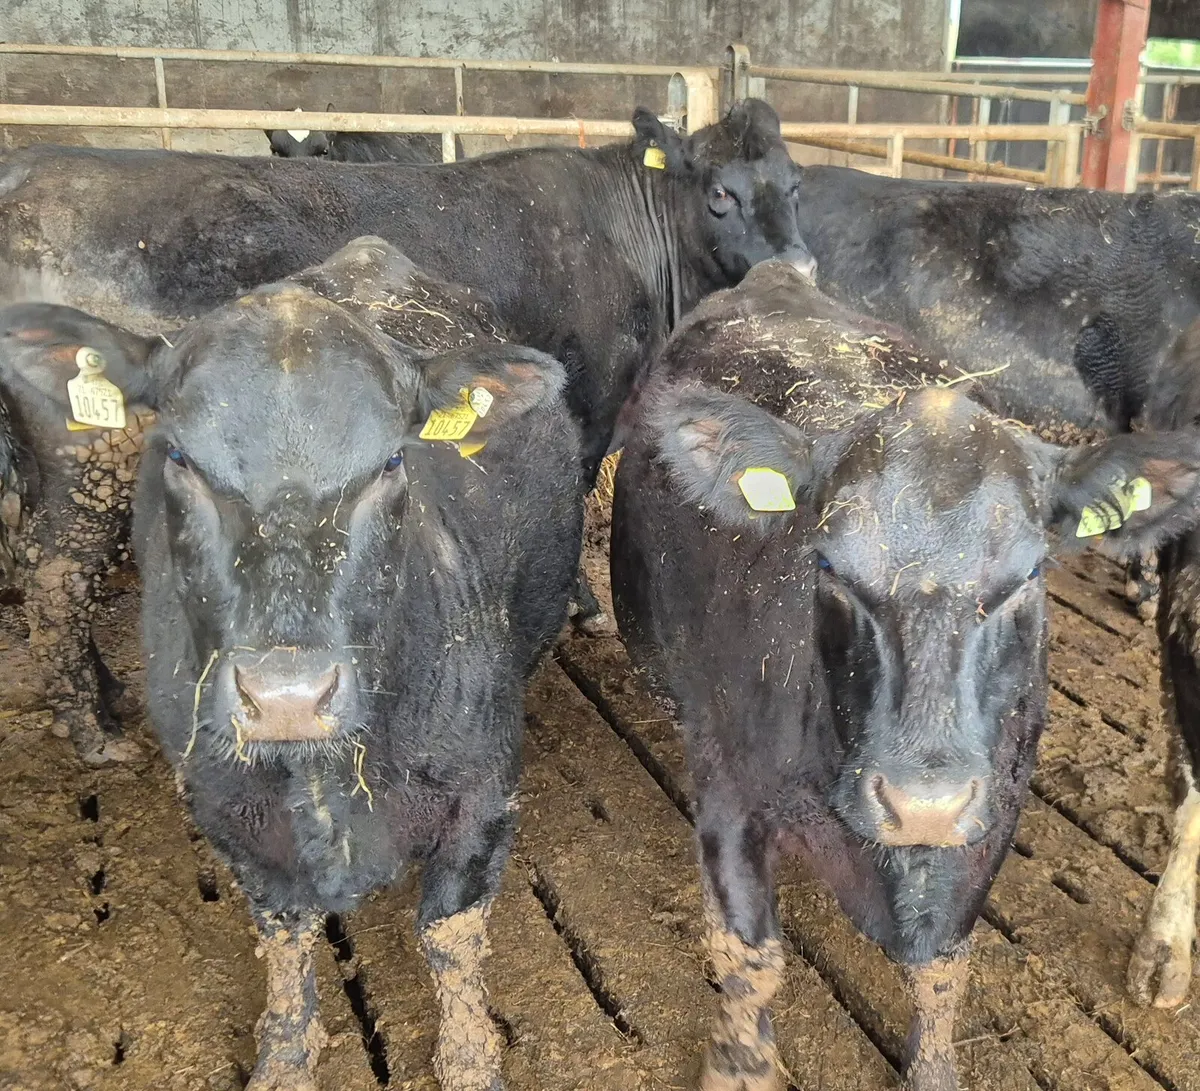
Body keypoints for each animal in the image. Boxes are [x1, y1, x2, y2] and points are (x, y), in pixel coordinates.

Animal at [609, 260, 1200, 1091]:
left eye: (1028, 576)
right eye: (828, 565)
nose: (923, 803)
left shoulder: (992, 812)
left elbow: (943, 968)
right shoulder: (728, 792)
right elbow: (750, 960)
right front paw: (736, 1067)